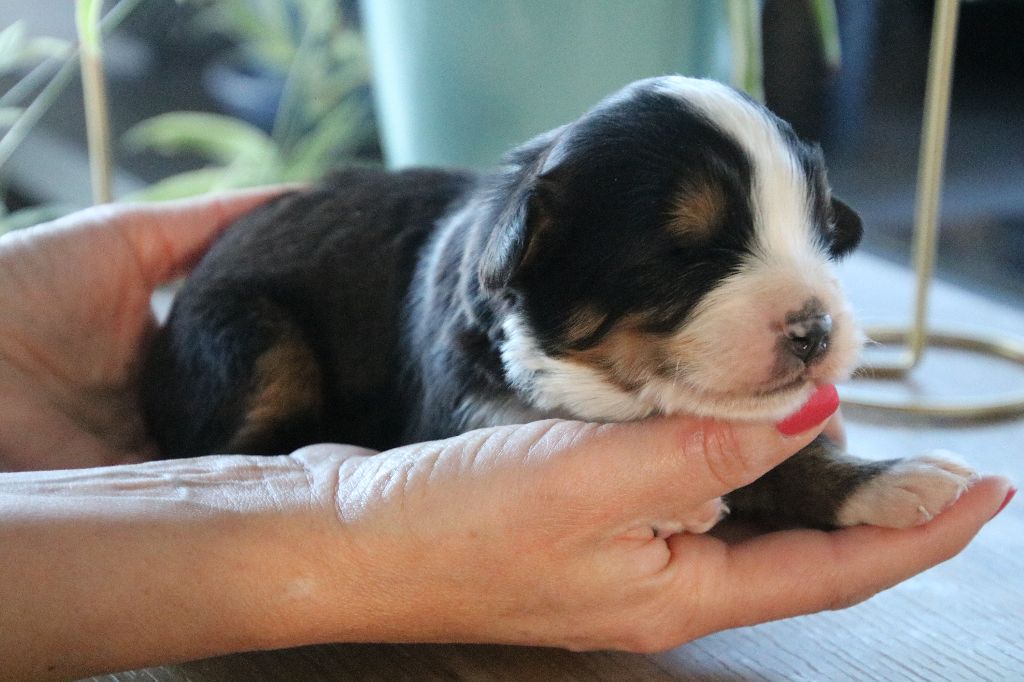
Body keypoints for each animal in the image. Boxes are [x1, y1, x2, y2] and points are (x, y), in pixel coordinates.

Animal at [142, 76, 975, 531]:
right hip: (252, 336)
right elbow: (527, 424)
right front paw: (661, 503)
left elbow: (793, 459)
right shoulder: (456, 407)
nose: (815, 330)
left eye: (820, 231)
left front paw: (894, 479)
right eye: (686, 252)